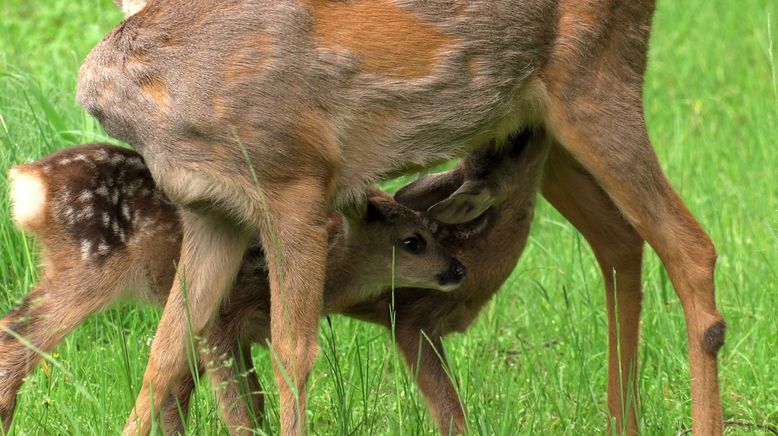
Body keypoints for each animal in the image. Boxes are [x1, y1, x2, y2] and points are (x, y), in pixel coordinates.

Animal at [77, 1, 720, 434]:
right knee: (620, 240)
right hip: (540, 124)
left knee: (691, 247)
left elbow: (292, 350)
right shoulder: (212, 212)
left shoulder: (295, 185)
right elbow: (166, 351)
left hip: (595, 84)